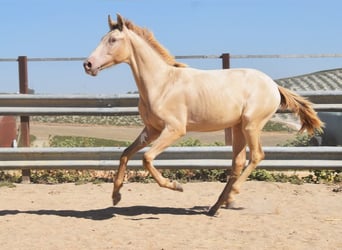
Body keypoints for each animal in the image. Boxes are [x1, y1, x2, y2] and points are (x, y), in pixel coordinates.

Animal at [83, 13, 324, 215]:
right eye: (103, 38)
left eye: (113, 40)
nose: (88, 64)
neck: (162, 84)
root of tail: (273, 86)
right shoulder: (152, 130)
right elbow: (125, 154)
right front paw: (116, 196)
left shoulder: (175, 129)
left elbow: (147, 158)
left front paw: (175, 186)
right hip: (237, 127)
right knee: (238, 162)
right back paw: (217, 206)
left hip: (251, 125)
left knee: (257, 156)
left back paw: (230, 196)